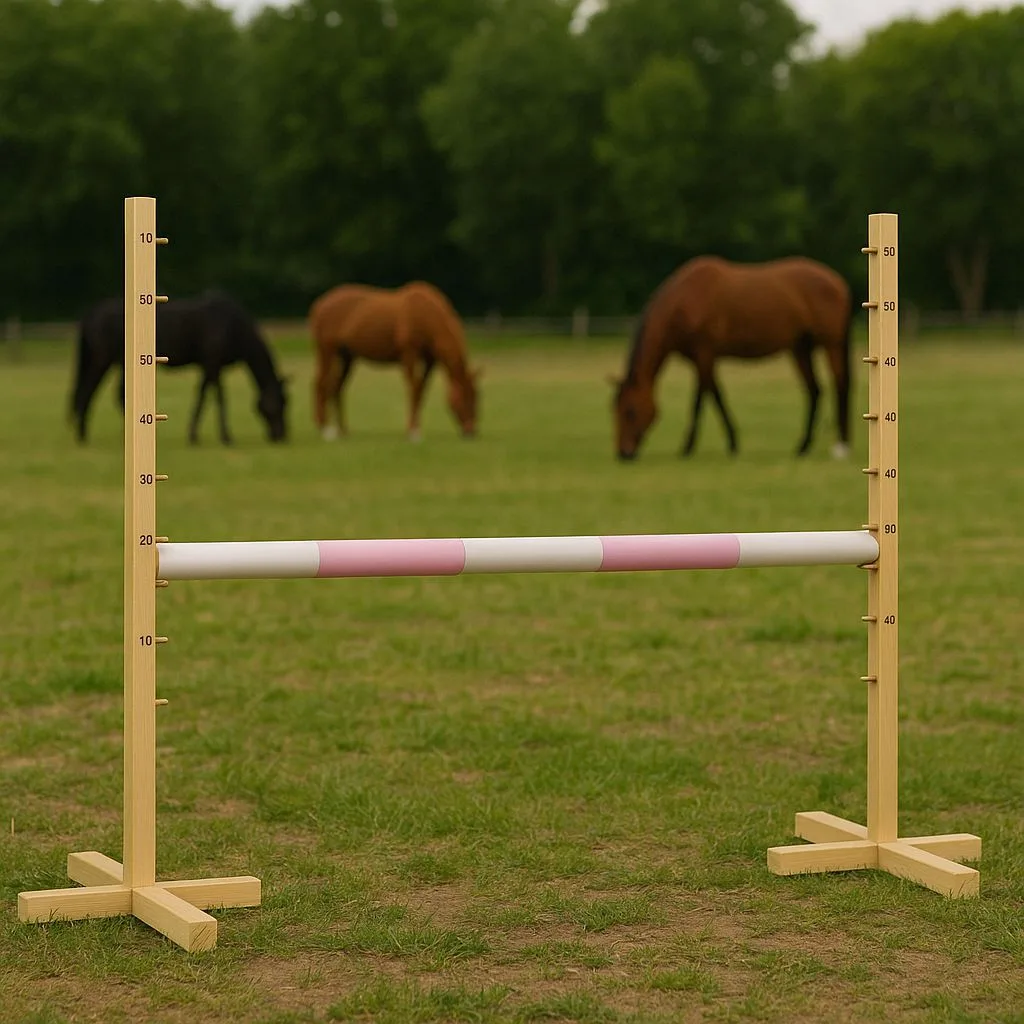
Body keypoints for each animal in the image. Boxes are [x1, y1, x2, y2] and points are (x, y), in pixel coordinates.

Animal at [71, 291, 289, 445]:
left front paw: (193, 435)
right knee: (88, 390)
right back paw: (82, 435)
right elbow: (218, 397)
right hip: (102, 360)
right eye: (279, 403)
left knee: (117, 395)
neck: (232, 325)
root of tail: (92, 313)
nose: (281, 436)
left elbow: (202, 396)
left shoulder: (207, 366)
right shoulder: (213, 364)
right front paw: (226, 437)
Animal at [309, 281, 481, 441]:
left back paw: (343, 430)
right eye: (464, 396)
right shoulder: (409, 355)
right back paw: (326, 429)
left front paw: (416, 428)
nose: (470, 432)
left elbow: (421, 391)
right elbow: (414, 389)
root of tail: (320, 305)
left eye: (476, 397)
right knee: (321, 384)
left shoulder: (430, 361)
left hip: (347, 357)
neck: (425, 314)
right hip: (327, 351)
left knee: (337, 388)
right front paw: (413, 431)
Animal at [610, 256, 852, 461]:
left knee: (840, 386)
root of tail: (837, 282)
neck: (683, 301)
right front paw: (730, 443)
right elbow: (713, 396)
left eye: (630, 411)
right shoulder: (702, 360)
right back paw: (803, 447)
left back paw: (841, 447)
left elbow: (705, 400)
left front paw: (690, 447)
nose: (624, 453)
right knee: (814, 391)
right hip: (801, 349)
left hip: (831, 345)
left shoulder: (704, 355)